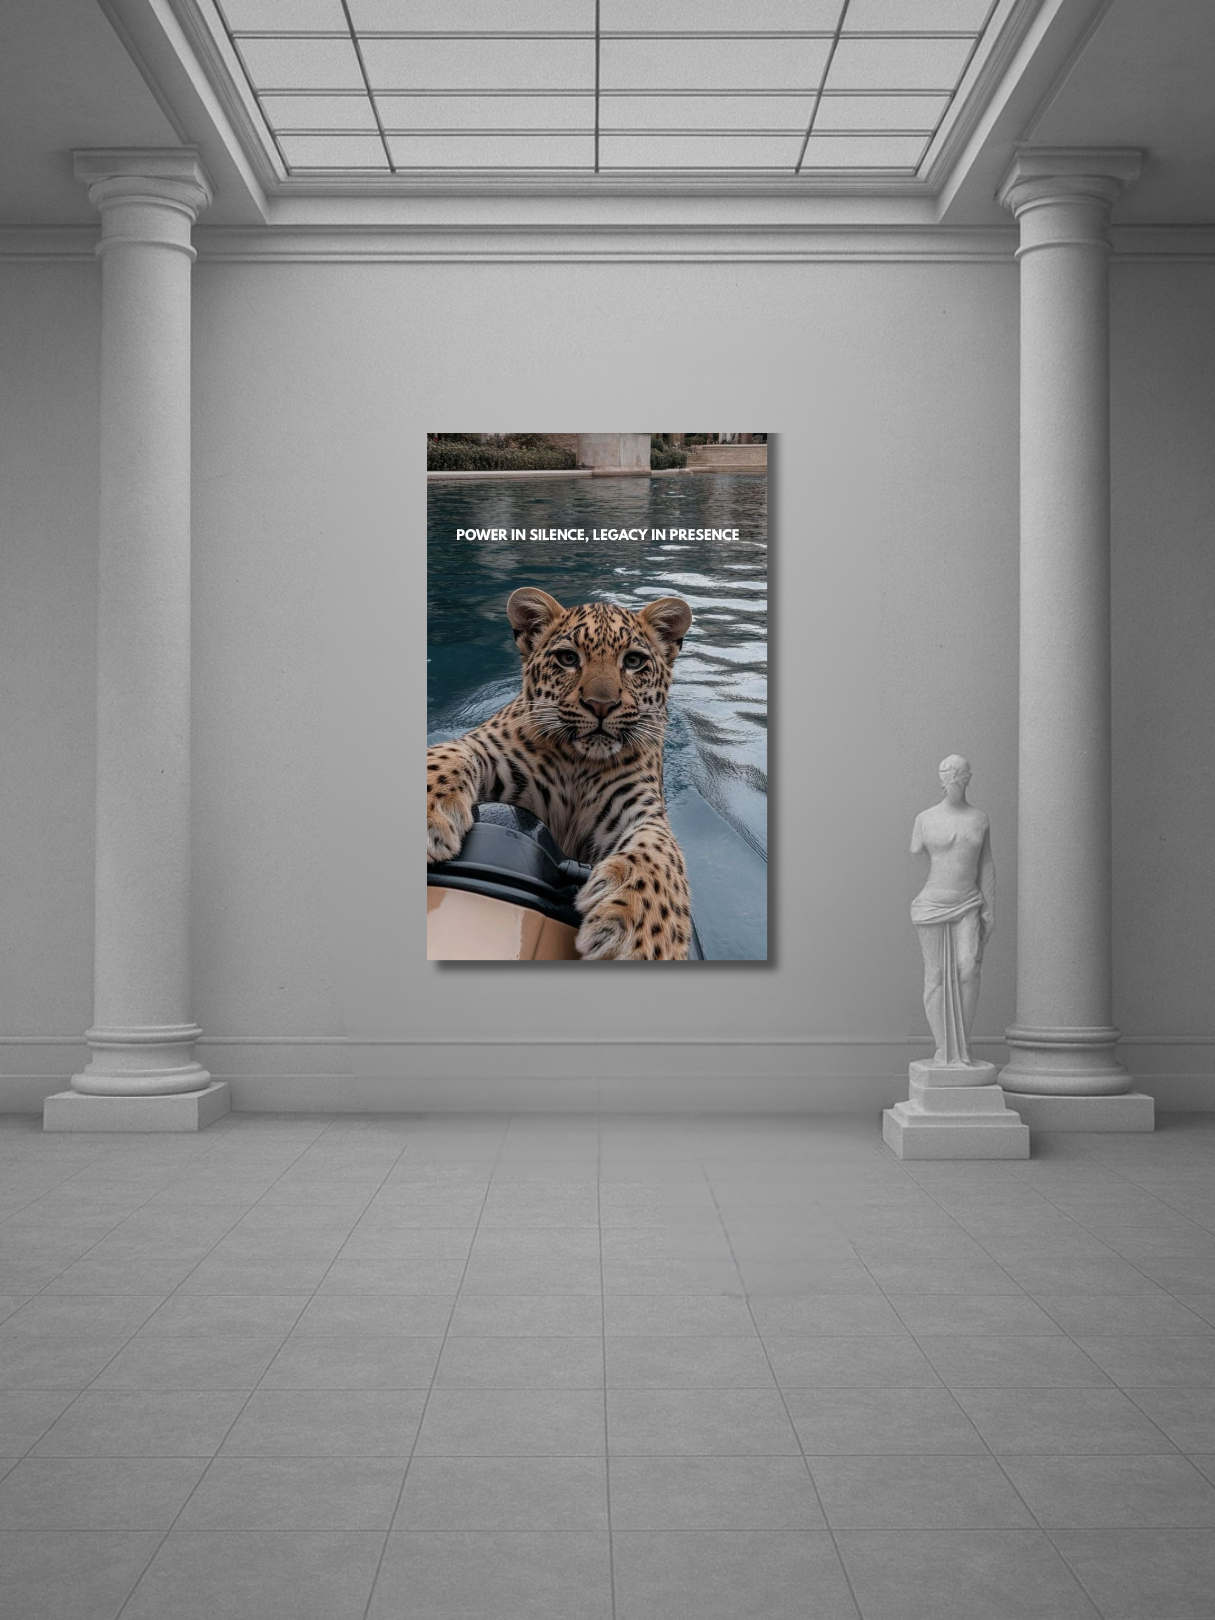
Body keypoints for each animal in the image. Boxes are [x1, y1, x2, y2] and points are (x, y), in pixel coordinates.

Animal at [427, 587, 695, 960]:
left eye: (633, 661)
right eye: (568, 658)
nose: (601, 705)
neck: (580, 764)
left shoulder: (640, 805)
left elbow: (661, 851)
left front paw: (642, 936)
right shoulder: (487, 749)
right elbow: (449, 754)